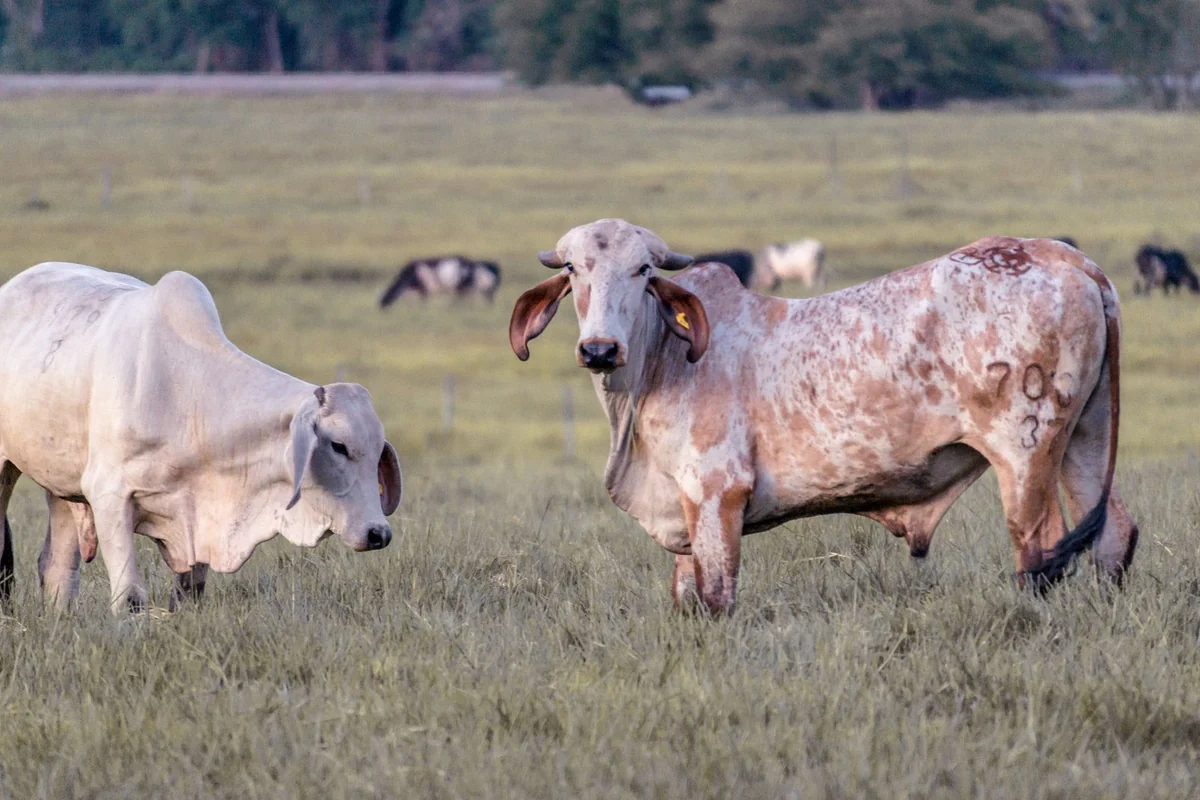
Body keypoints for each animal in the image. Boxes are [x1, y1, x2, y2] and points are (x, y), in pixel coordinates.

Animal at [0, 263, 403, 613]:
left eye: (376, 453)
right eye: (339, 446)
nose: (379, 534)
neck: (188, 398)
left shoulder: (197, 514)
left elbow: (190, 592)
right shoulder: (109, 495)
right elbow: (130, 597)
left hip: (62, 487)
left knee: (57, 570)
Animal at [510, 219, 1137, 615]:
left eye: (643, 270)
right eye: (573, 269)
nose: (599, 350)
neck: (662, 361)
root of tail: (1070, 259)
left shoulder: (716, 495)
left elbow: (717, 598)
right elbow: (687, 598)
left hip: (1025, 454)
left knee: (1041, 554)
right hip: (1084, 439)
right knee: (1113, 536)